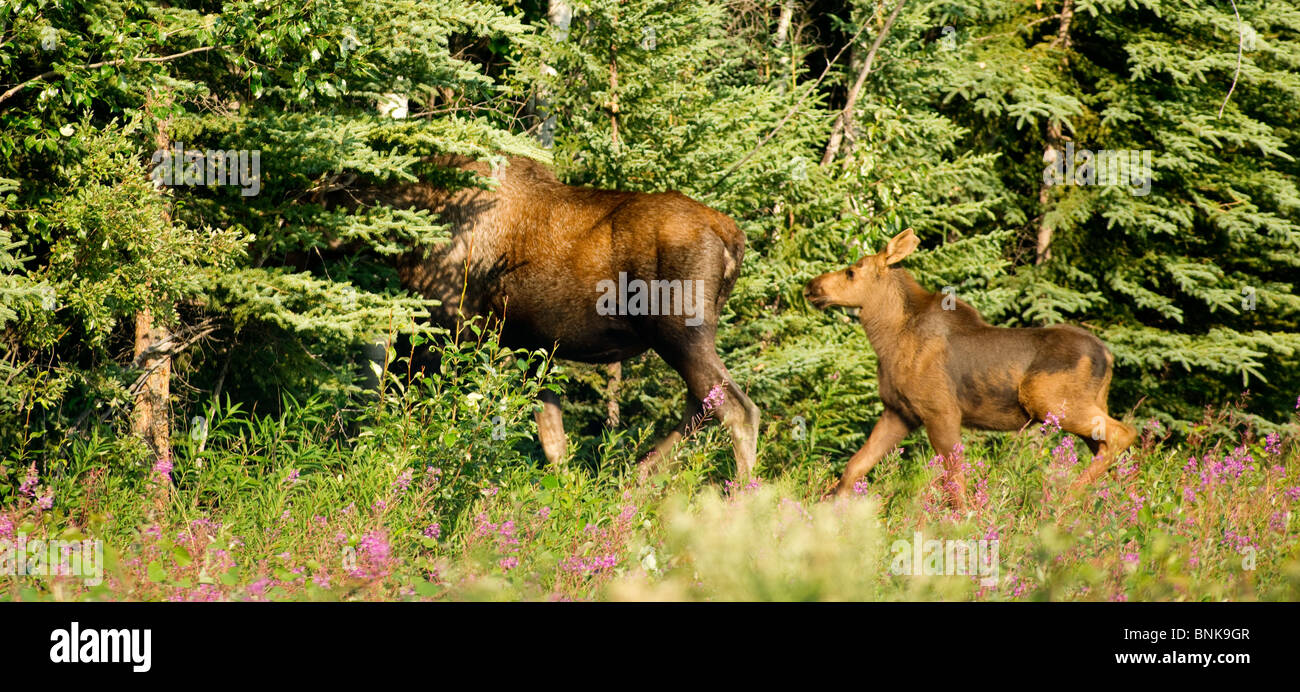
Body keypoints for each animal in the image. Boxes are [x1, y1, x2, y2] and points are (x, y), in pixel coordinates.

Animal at [336, 155, 760, 479]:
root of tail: (733, 238)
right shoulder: (533, 345)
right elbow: (553, 439)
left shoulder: (453, 324)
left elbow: (441, 413)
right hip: (686, 336)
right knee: (703, 403)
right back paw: (635, 477)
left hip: (680, 331)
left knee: (738, 410)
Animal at [803, 229, 1136, 507]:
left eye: (851, 272)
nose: (811, 286)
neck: (889, 339)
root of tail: (1107, 356)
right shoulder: (899, 411)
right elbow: (854, 467)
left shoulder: (941, 410)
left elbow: (955, 477)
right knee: (1114, 454)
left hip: (1049, 400)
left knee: (1123, 433)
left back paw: (1068, 496)